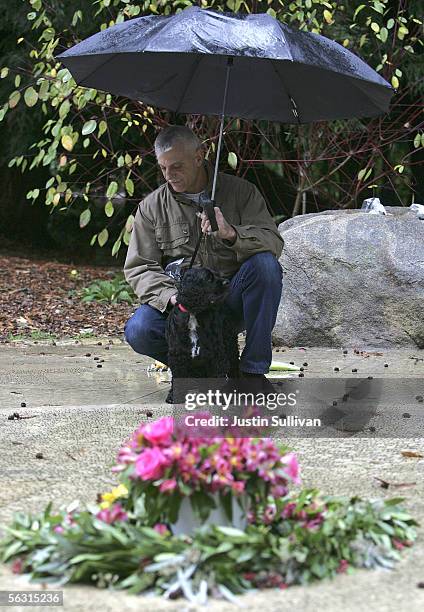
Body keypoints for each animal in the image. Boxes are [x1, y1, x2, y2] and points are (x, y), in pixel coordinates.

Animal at [165, 266, 240, 402]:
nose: (227, 282)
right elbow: (178, 377)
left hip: (229, 342)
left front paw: (218, 396)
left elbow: (217, 376)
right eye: (209, 278)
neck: (194, 314)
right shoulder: (177, 355)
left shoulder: (216, 354)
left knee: (234, 366)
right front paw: (174, 396)